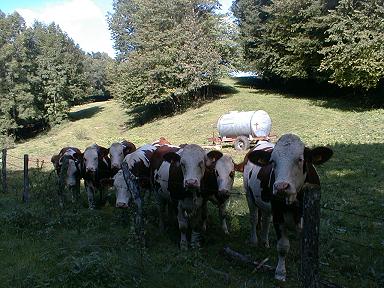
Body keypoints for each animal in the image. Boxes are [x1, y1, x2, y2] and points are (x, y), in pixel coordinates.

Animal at [240, 134, 332, 282]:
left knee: (266, 219)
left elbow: (304, 245)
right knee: (254, 218)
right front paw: (280, 272)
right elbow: (283, 247)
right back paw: (254, 240)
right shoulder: (278, 217)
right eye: (272, 162)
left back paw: (265, 242)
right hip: (249, 195)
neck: (294, 204)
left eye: (300, 159)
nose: (281, 187)